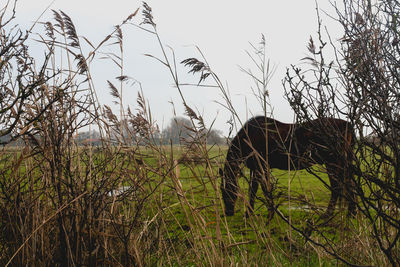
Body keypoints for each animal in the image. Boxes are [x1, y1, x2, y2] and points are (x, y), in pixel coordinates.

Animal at [219, 116, 356, 219]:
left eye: (226, 190)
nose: (228, 212)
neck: (250, 136)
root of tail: (347, 125)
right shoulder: (256, 168)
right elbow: (254, 189)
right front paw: (250, 212)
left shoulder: (261, 166)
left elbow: (262, 188)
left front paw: (266, 212)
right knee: (350, 185)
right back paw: (351, 213)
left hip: (333, 163)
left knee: (336, 187)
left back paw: (328, 214)